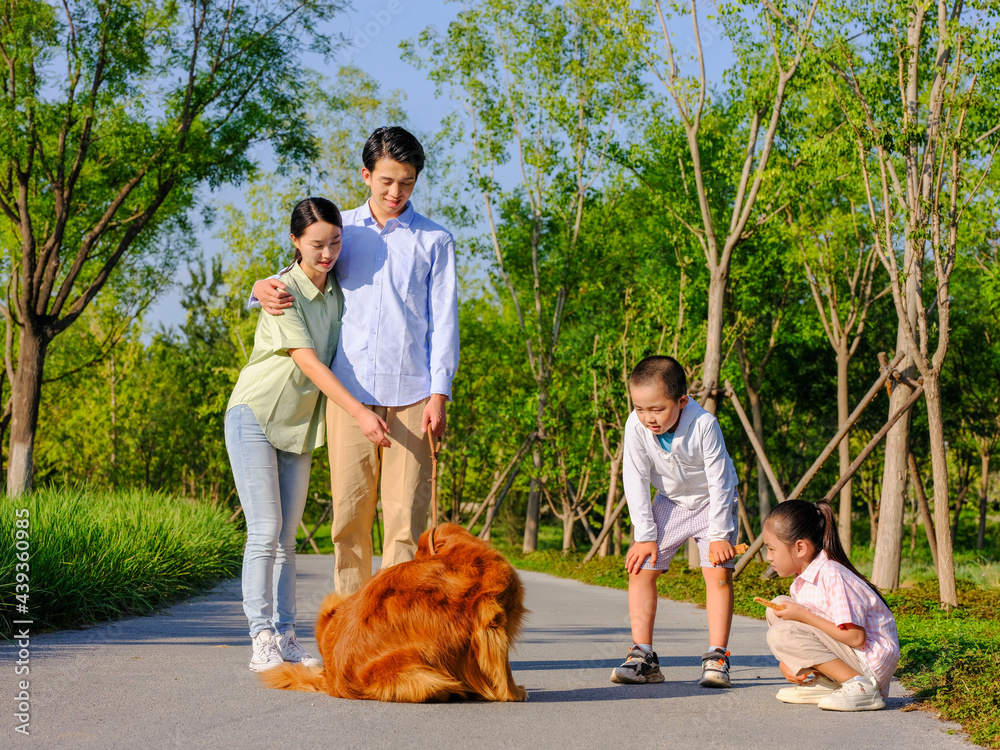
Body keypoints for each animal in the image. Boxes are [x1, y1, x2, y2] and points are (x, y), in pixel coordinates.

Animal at [258, 524, 528, 704]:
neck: (456, 552)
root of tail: (331, 678)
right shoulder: (493, 619)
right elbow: (503, 669)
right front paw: (515, 693)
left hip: (333, 602)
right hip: (425, 675)